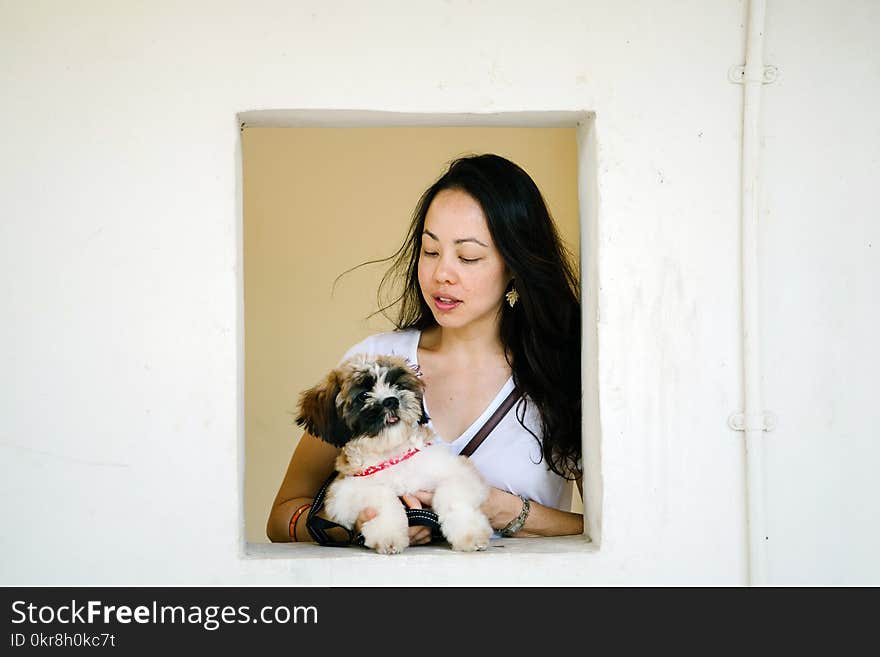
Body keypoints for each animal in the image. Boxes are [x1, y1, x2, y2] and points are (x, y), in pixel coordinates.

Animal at [298, 354, 496, 552]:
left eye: (398, 386)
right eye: (363, 395)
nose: (391, 400)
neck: (391, 454)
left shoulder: (461, 471)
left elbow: (452, 495)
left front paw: (469, 532)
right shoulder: (342, 494)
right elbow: (381, 494)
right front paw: (388, 534)